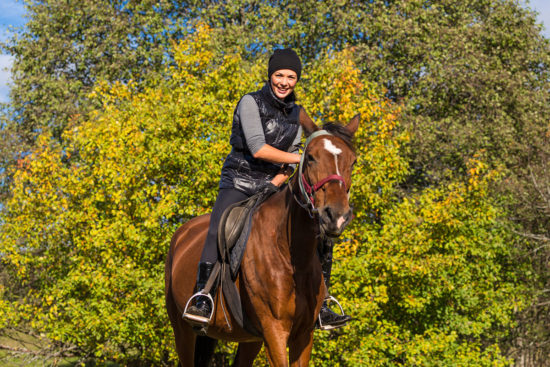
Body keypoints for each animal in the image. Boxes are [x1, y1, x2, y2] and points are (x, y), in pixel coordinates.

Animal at [166, 110, 360, 366]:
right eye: (310, 158)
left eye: (352, 161)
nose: (336, 216)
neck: (291, 254)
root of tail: (181, 234)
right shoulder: (274, 330)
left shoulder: (303, 335)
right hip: (183, 332)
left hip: (248, 339)